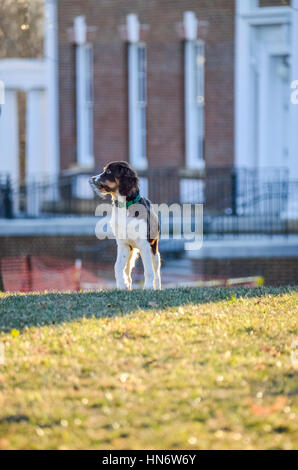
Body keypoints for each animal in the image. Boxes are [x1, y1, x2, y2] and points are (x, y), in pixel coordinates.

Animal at [90, 163, 162, 292]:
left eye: (109, 171)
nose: (92, 178)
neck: (125, 206)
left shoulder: (145, 245)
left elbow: (148, 270)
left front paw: (148, 288)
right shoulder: (122, 244)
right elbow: (117, 267)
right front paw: (121, 287)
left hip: (154, 249)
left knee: (156, 270)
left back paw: (157, 287)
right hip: (130, 251)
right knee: (127, 270)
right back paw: (128, 286)